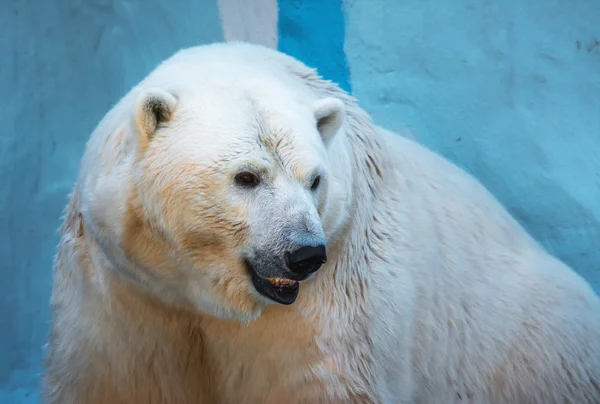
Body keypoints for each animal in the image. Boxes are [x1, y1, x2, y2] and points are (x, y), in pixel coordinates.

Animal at [43, 41, 600, 404]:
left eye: (314, 180)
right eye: (247, 176)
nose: (304, 253)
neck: (203, 299)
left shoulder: (340, 289)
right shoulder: (125, 292)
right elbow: (119, 382)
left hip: (532, 349)